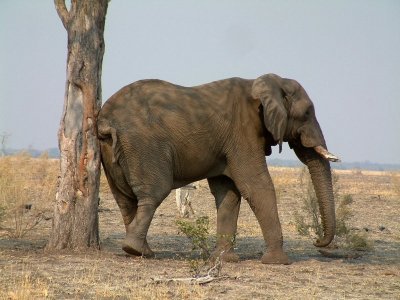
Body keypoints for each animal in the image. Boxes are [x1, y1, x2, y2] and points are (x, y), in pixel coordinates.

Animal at [98, 74, 340, 264]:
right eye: (307, 113)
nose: (317, 241)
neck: (263, 83)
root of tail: (105, 119)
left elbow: (228, 192)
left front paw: (224, 259)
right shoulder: (243, 133)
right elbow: (256, 185)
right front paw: (278, 262)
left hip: (112, 151)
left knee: (125, 199)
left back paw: (139, 251)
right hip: (144, 146)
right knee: (154, 193)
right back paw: (136, 250)